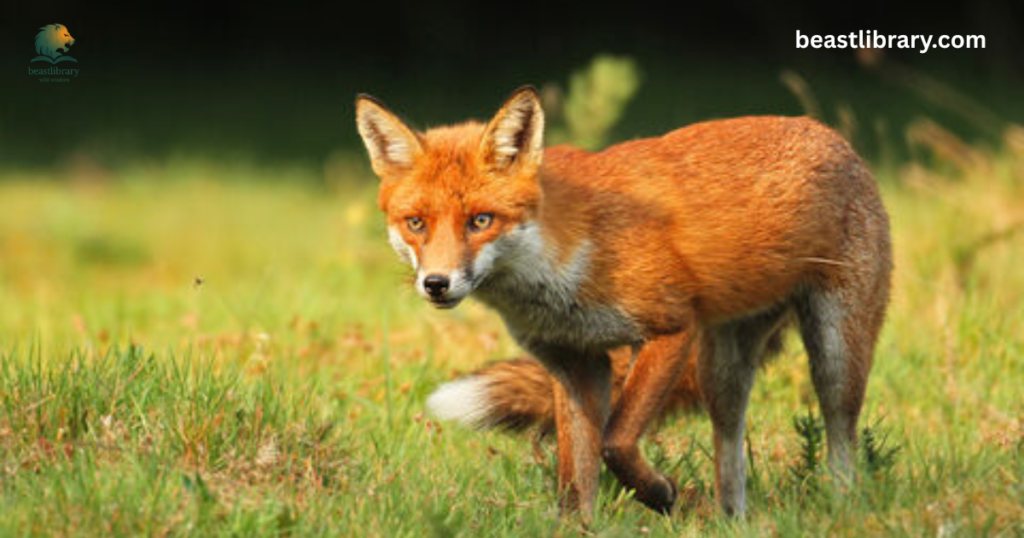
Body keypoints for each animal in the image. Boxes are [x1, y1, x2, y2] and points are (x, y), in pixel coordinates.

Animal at [355, 86, 892, 518]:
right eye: (416, 223)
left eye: (480, 221)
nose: (436, 283)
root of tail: (834, 135)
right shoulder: (576, 365)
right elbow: (575, 483)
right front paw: (582, 526)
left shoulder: (670, 330)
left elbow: (615, 443)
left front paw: (658, 494)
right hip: (722, 371)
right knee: (730, 452)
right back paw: (731, 520)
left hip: (835, 352)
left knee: (841, 440)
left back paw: (843, 511)